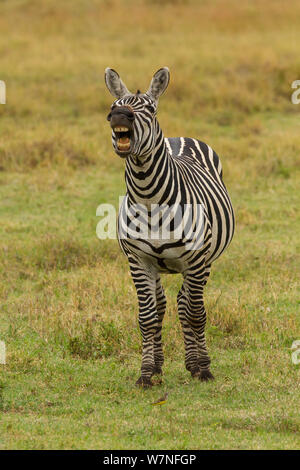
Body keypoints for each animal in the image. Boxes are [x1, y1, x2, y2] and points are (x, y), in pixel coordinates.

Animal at [105, 67, 234, 390]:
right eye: (114, 106)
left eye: (150, 110)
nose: (119, 116)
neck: (150, 200)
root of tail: (177, 138)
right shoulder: (139, 261)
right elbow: (148, 317)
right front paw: (146, 372)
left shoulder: (196, 259)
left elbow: (196, 314)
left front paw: (203, 369)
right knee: (166, 304)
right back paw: (160, 365)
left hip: (205, 261)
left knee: (187, 304)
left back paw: (195, 362)